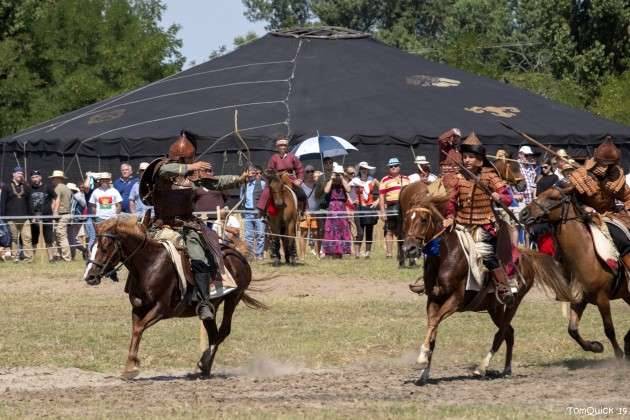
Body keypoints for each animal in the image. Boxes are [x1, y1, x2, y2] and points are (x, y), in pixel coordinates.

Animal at [83, 215, 266, 378]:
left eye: (105, 247)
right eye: (91, 247)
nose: (89, 276)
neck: (149, 264)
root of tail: (238, 255)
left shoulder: (161, 309)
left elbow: (139, 328)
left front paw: (131, 367)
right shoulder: (138, 308)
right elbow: (136, 331)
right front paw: (129, 367)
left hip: (233, 299)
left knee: (223, 331)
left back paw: (204, 362)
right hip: (212, 307)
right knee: (213, 332)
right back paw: (204, 368)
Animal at [402, 182, 576, 386]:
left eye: (423, 219)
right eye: (407, 219)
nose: (409, 248)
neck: (445, 256)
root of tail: (525, 255)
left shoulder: (455, 300)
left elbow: (435, 322)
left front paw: (421, 357)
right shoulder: (434, 300)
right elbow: (433, 327)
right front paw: (424, 372)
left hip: (513, 303)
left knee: (501, 333)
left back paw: (482, 367)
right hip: (495, 307)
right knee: (509, 332)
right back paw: (506, 369)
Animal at [520, 188, 630, 360]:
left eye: (553, 197)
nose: (523, 214)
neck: (585, 252)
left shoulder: (602, 298)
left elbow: (609, 329)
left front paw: (619, 355)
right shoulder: (580, 298)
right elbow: (572, 330)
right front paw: (595, 347)